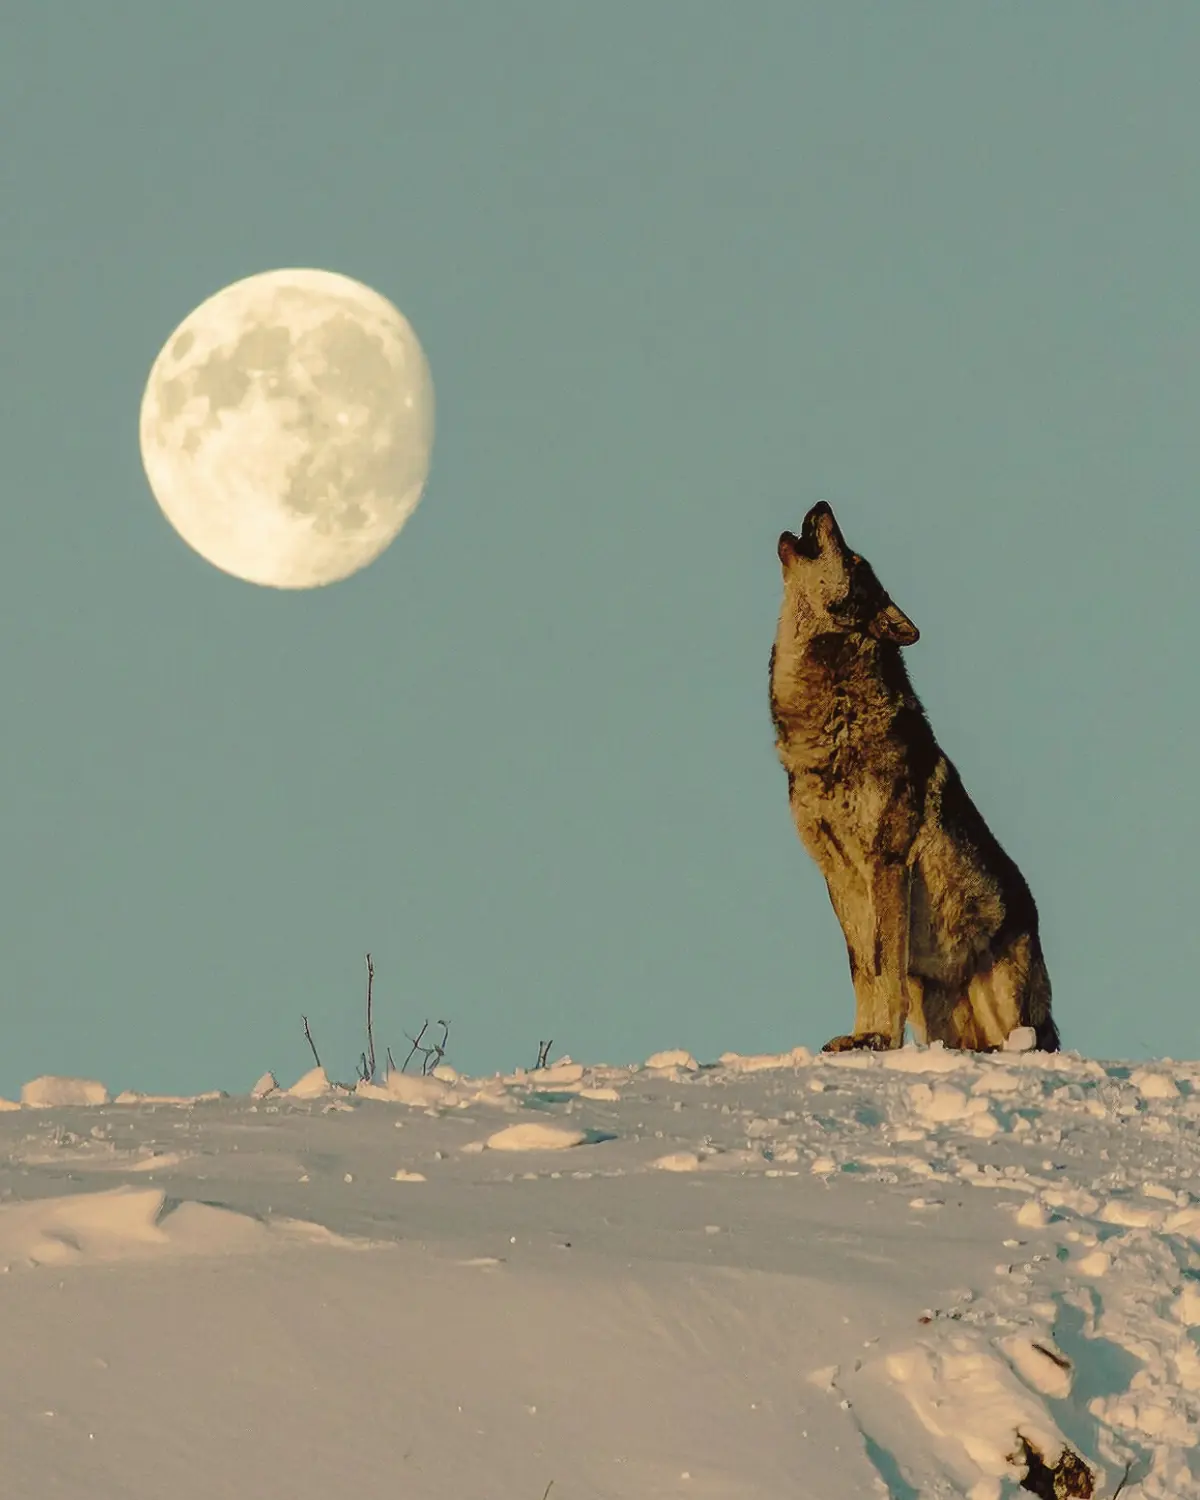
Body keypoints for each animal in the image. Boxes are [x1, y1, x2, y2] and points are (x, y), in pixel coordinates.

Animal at [769, 501, 1058, 1053]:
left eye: (855, 562)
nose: (822, 505)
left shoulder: (887, 862)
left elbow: (884, 964)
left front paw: (880, 1038)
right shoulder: (837, 876)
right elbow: (863, 968)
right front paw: (860, 1037)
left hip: (1005, 998)